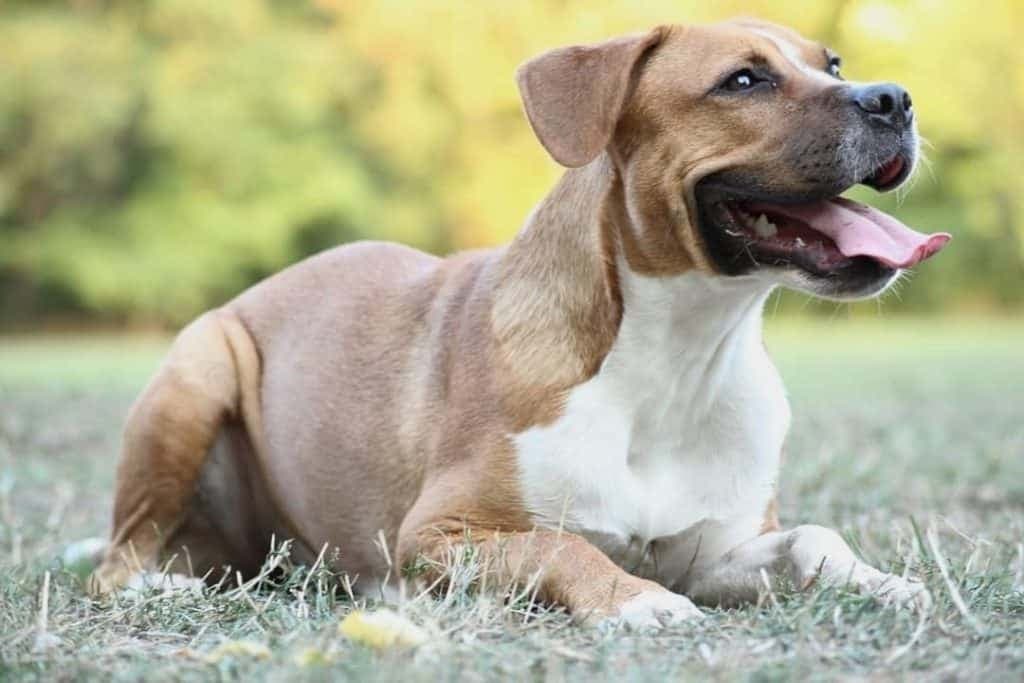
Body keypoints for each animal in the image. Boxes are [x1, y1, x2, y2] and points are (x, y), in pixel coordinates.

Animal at [92, 17, 946, 630]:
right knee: (117, 560)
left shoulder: (717, 548)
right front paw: (638, 599)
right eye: (743, 80)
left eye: (832, 65)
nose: (894, 98)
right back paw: (169, 591)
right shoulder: (438, 534)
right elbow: (559, 545)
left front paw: (882, 580)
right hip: (197, 371)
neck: (677, 357)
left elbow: (813, 536)